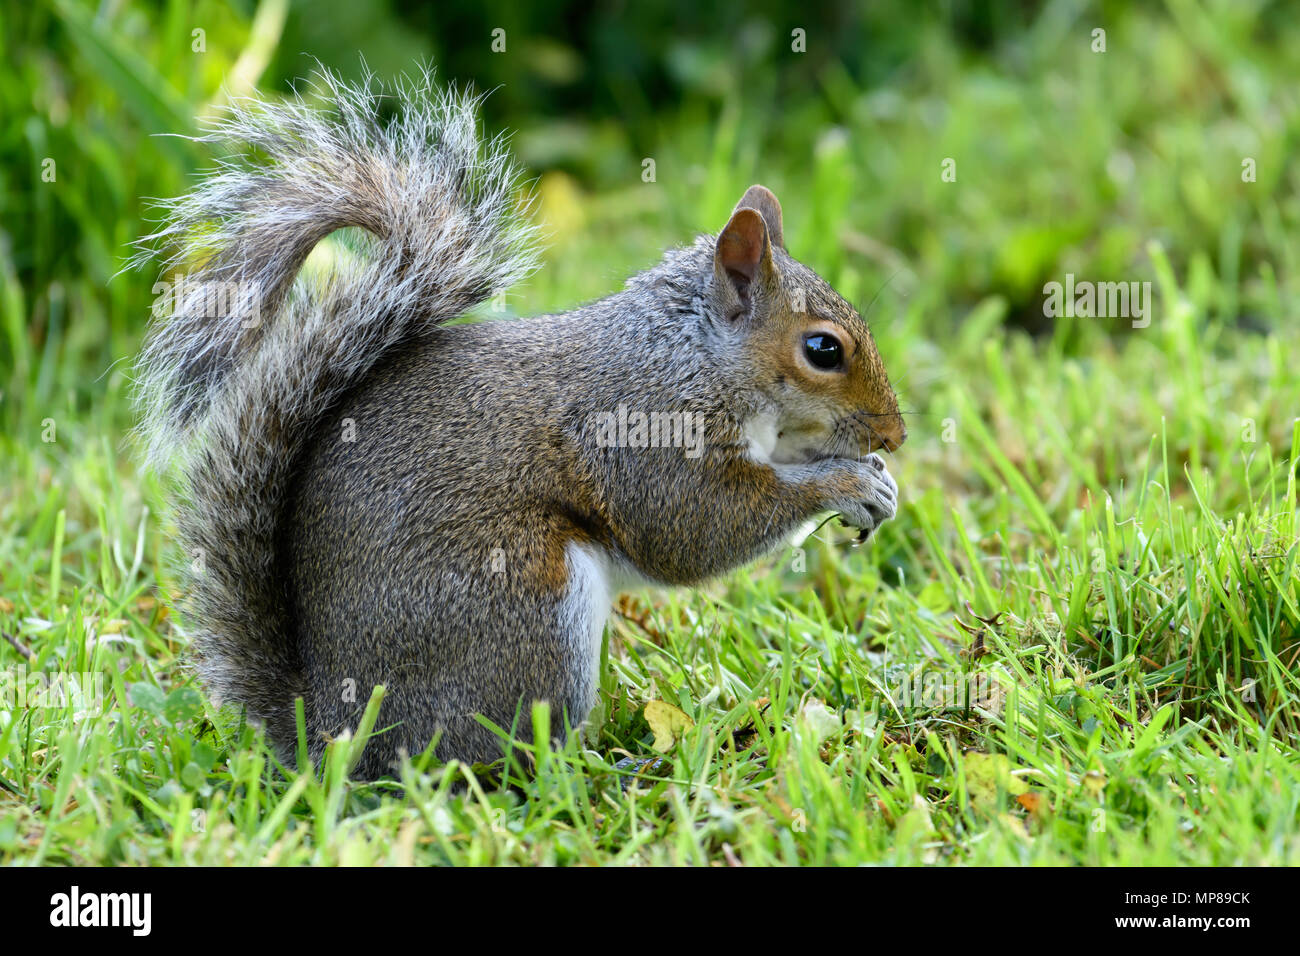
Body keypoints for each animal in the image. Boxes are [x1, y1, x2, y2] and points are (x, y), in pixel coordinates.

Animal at [134, 70, 906, 780]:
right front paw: (845, 483)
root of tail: (332, 735)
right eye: (823, 350)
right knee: (497, 762)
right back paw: (602, 768)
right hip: (527, 608)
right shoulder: (646, 432)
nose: (894, 436)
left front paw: (876, 481)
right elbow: (695, 530)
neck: (691, 355)